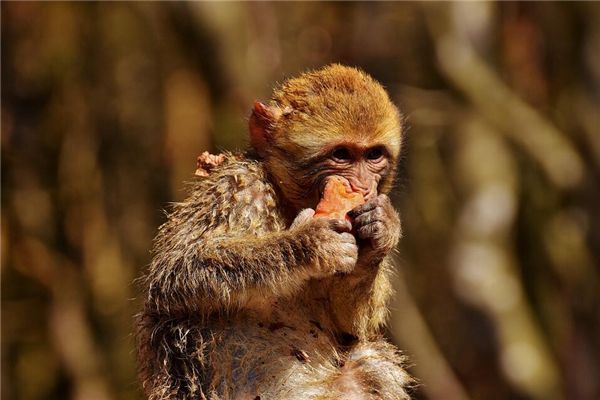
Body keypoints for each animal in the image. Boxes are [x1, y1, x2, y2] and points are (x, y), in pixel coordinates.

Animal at [137, 64, 412, 398]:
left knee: (367, 358)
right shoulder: (238, 186)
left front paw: (381, 232)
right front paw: (308, 244)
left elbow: (350, 325)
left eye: (373, 155)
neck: (288, 200)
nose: (361, 187)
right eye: (342, 154)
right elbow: (176, 273)